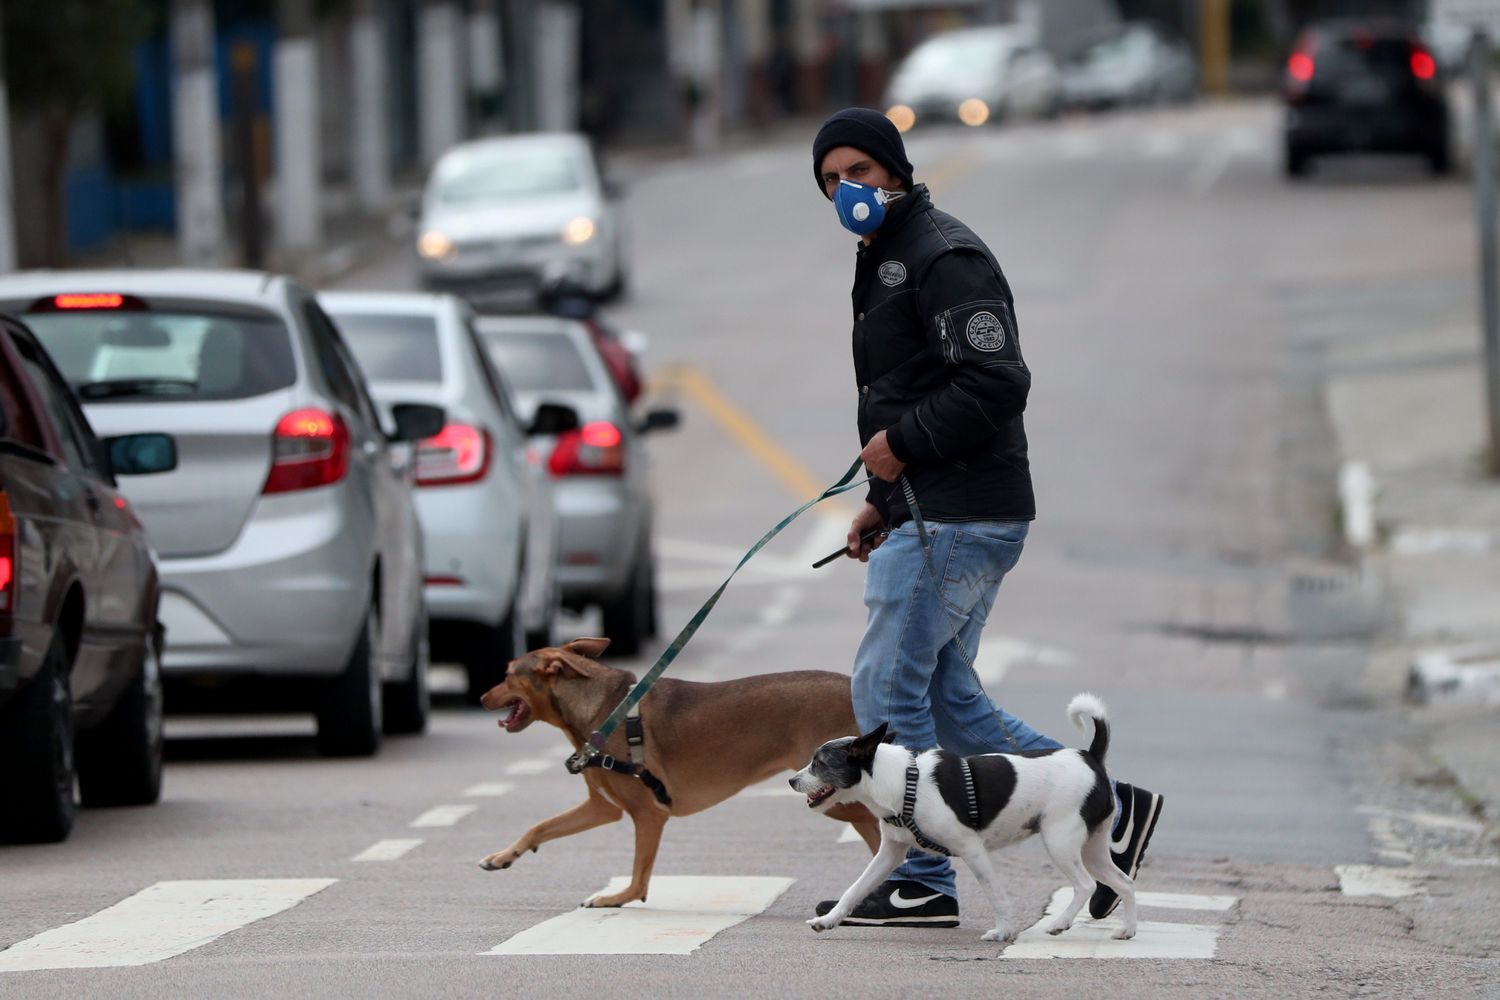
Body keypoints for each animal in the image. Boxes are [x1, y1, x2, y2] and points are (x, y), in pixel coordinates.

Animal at [477, 641, 876, 905]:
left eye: (508, 675)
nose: (481, 698)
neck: (604, 710)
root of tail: (850, 686)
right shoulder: (603, 808)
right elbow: (539, 827)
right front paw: (502, 856)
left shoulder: (648, 814)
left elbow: (639, 878)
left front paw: (615, 898)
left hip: (839, 798)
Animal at [792, 692, 1128, 941]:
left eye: (819, 764)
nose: (792, 781)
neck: (905, 782)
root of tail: (1090, 758)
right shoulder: (889, 854)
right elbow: (856, 888)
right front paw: (828, 919)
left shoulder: (972, 850)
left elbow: (996, 894)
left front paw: (1004, 932)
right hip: (1093, 846)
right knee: (1122, 881)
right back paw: (1128, 930)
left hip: (1060, 840)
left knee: (1086, 885)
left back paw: (1061, 922)